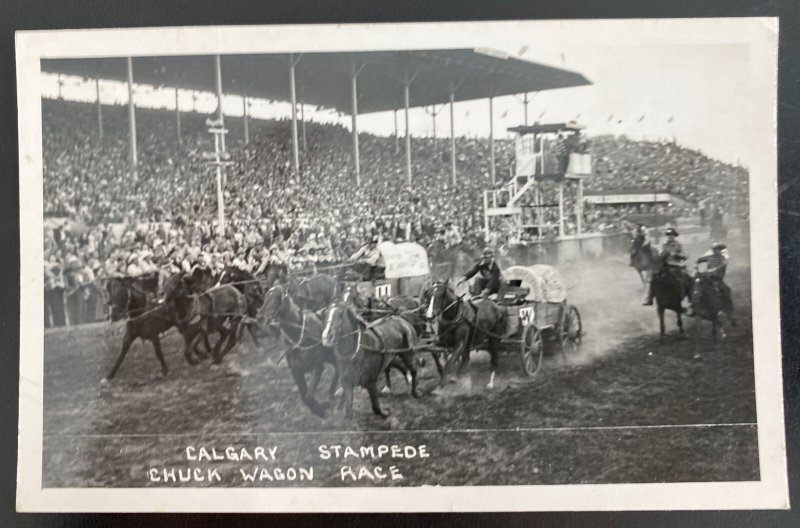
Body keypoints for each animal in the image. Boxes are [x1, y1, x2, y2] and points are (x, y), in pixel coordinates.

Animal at [260, 282, 340, 418]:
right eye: (265, 298)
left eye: (278, 297)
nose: (269, 322)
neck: (298, 335)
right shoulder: (296, 371)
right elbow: (304, 397)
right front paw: (319, 409)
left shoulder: (317, 366)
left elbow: (309, 396)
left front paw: (323, 407)